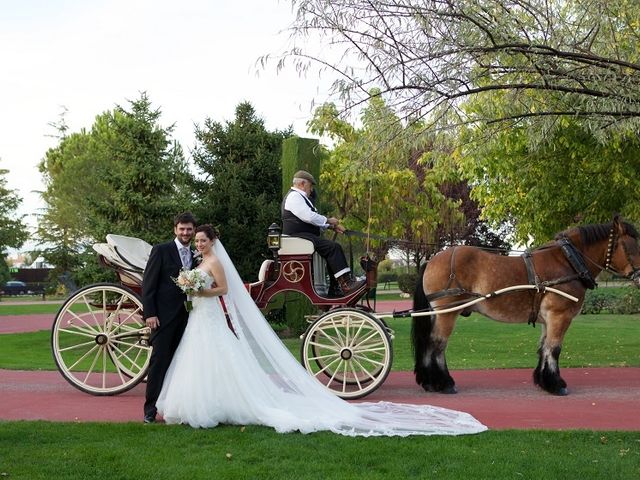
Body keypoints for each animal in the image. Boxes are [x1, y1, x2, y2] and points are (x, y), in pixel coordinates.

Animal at [410, 215, 640, 394]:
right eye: (631, 246)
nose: (639, 275)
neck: (568, 261)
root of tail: (432, 260)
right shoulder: (560, 316)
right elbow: (554, 349)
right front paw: (556, 385)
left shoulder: (548, 319)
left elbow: (544, 348)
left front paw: (544, 381)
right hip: (447, 313)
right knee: (437, 345)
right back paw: (444, 383)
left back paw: (429, 382)